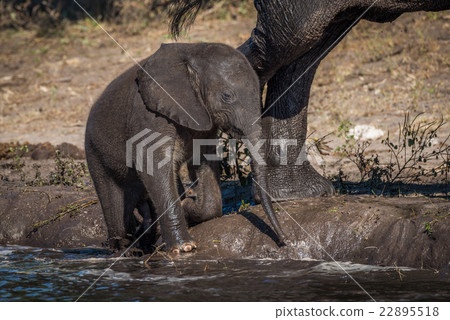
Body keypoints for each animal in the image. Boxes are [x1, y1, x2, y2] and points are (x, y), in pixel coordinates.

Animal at [84, 42, 284, 252]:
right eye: (227, 96)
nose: (282, 240)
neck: (193, 51)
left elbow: (204, 160)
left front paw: (187, 206)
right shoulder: (147, 115)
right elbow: (153, 165)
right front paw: (184, 247)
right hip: (94, 151)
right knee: (113, 202)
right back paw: (124, 247)